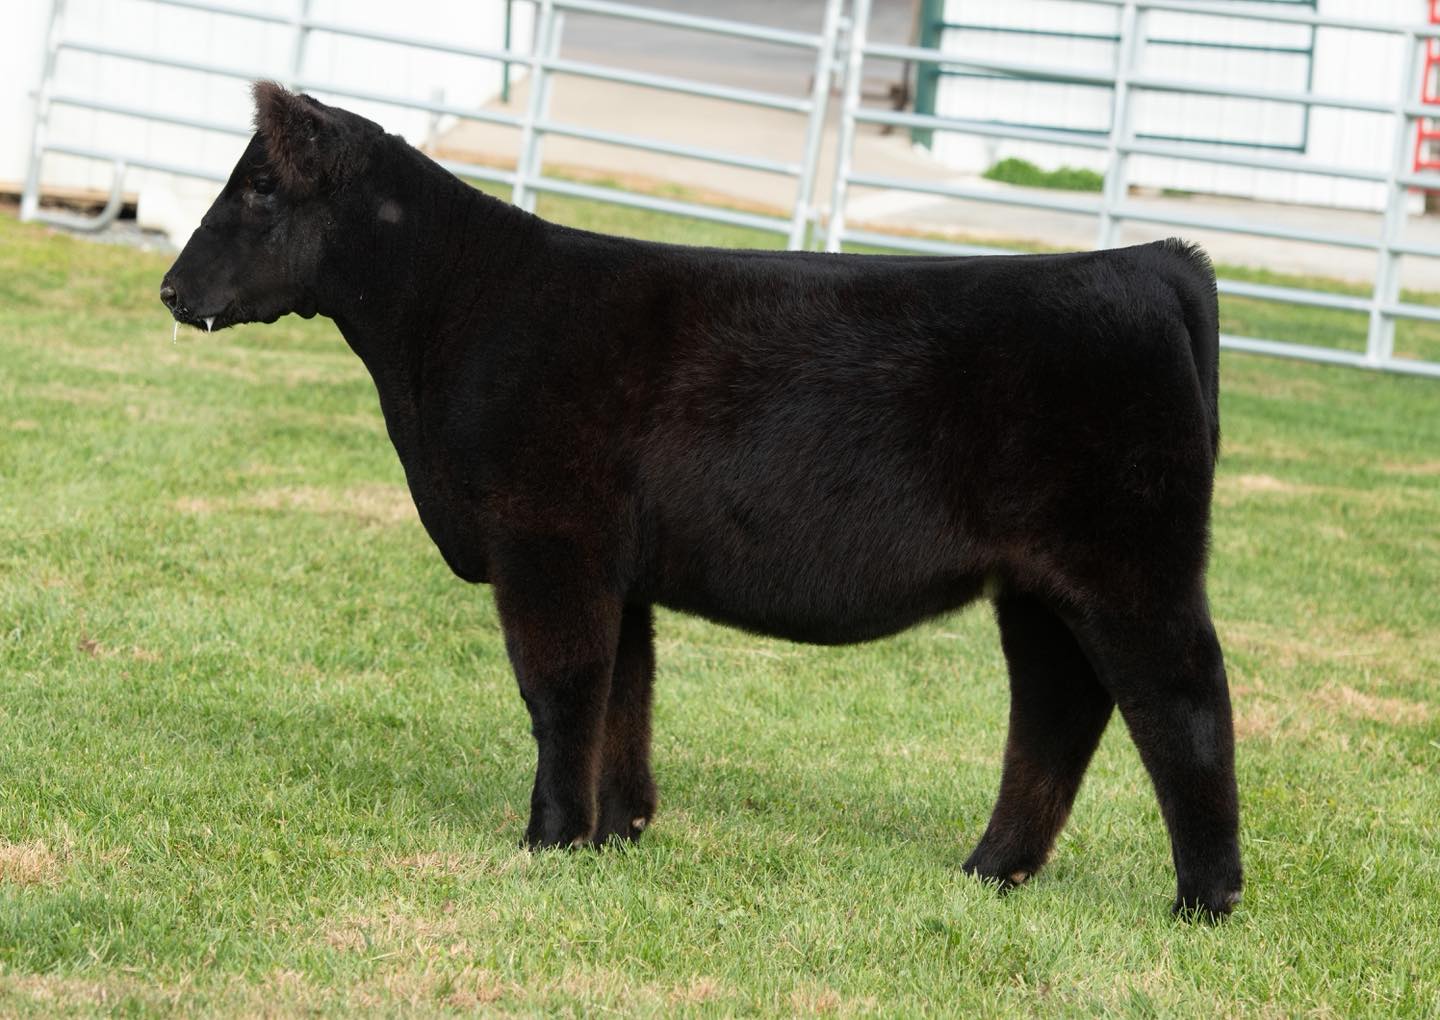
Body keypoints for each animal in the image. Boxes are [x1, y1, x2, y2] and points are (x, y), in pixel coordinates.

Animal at [159, 82, 1242, 919]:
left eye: (260, 188)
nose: (171, 289)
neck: (451, 319)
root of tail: (1150, 261)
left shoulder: (545, 538)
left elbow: (560, 687)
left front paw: (549, 837)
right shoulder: (614, 561)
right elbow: (624, 691)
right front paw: (619, 830)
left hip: (1129, 561)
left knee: (1183, 698)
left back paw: (1205, 897)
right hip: (1040, 583)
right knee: (1060, 703)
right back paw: (992, 870)